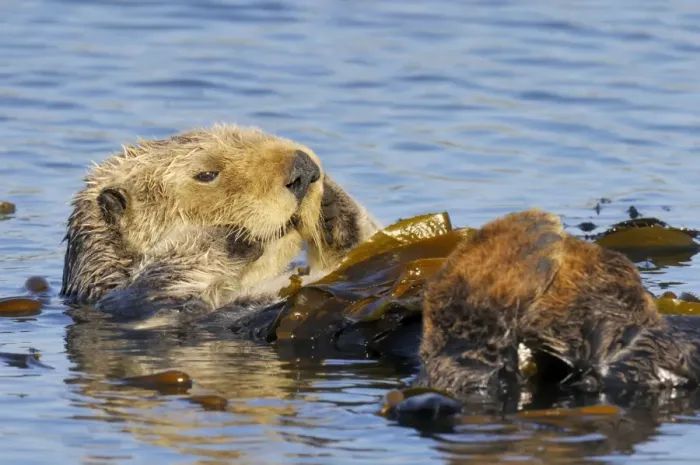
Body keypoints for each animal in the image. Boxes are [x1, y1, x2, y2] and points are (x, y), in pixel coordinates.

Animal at [60, 124, 379, 326]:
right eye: (206, 174)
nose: (305, 168)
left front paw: (333, 205)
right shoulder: (139, 309)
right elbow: (159, 284)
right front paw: (229, 236)